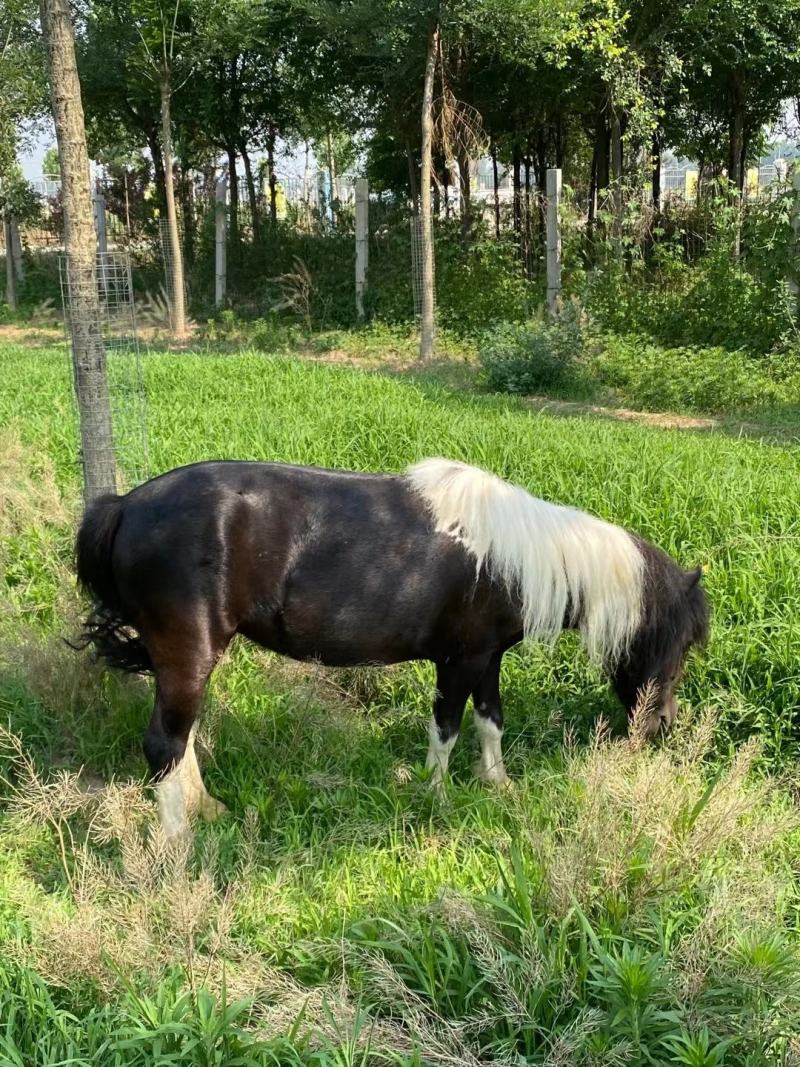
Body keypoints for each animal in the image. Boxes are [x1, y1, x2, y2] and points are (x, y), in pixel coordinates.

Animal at [74, 456, 709, 837]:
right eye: (677, 646)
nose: (663, 725)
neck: (515, 556)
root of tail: (124, 505)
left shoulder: (487, 658)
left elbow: (491, 720)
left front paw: (497, 784)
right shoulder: (460, 660)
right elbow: (447, 726)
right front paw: (438, 796)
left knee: (183, 738)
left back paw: (208, 810)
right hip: (189, 652)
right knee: (166, 742)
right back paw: (180, 841)